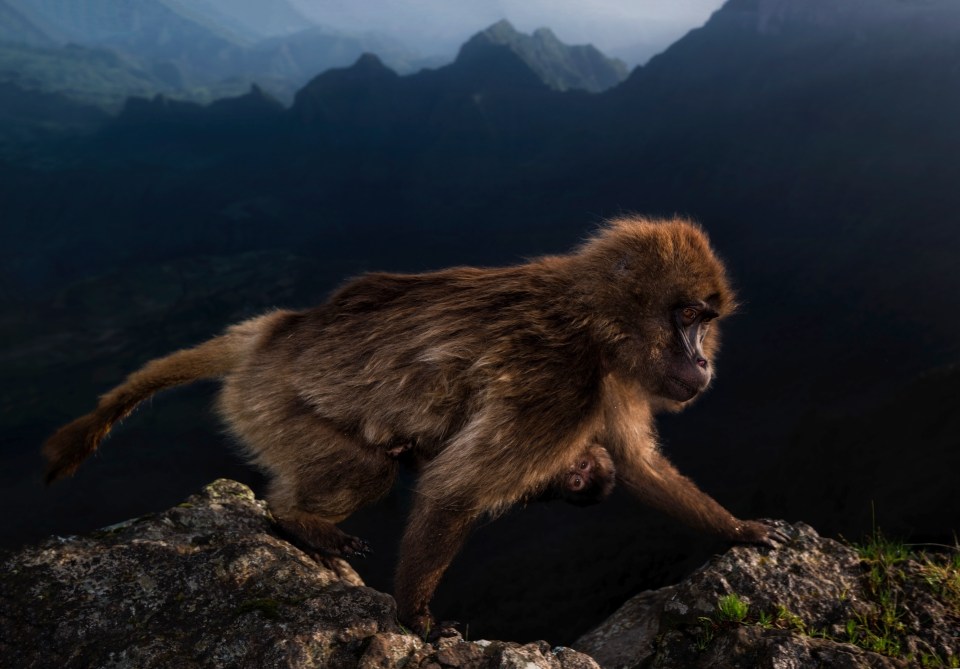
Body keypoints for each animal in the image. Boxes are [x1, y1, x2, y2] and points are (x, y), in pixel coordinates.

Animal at [41, 218, 784, 636]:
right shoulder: (560, 381)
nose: (703, 362)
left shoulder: (611, 382)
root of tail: (274, 333)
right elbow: (455, 491)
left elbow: (637, 468)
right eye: (688, 318)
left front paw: (738, 529)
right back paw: (293, 517)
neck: (596, 322)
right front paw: (416, 619)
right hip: (268, 404)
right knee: (363, 469)